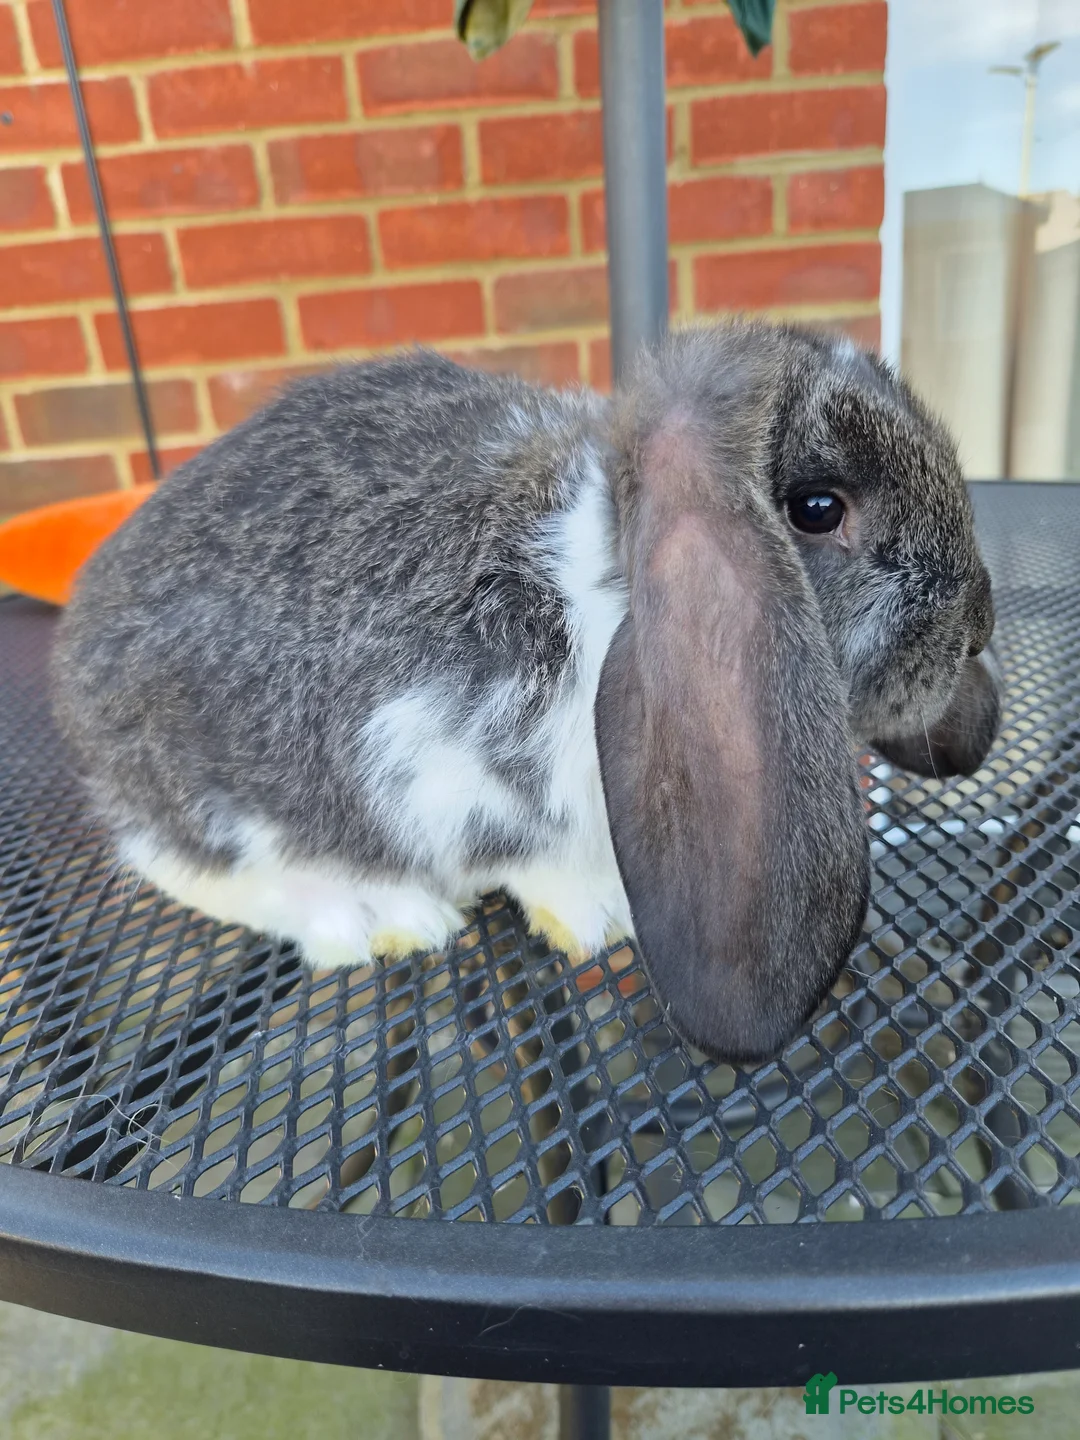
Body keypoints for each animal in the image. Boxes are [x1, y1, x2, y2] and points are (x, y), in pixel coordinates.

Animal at [51, 321, 1000, 1062]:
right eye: (817, 508)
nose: (979, 627)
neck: (597, 576)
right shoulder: (441, 770)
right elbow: (525, 857)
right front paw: (596, 920)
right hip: (214, 802)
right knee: (196, 871)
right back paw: (378, 914)